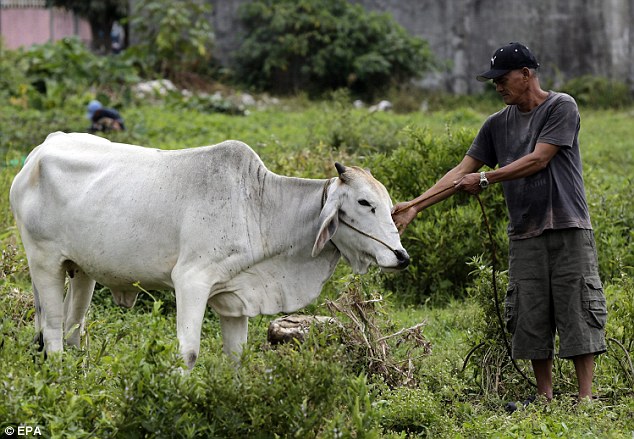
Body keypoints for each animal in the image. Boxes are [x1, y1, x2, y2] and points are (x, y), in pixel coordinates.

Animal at [11, 131, 410, 368]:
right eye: (365, 203)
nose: (401, 257)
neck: (259, 207)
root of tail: (41, 149)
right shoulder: (191, 282)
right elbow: (188, 353)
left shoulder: (237, 300)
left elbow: (237, 358)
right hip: (44, 261)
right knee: (54, 329)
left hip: (82, 271)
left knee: (73, 326)